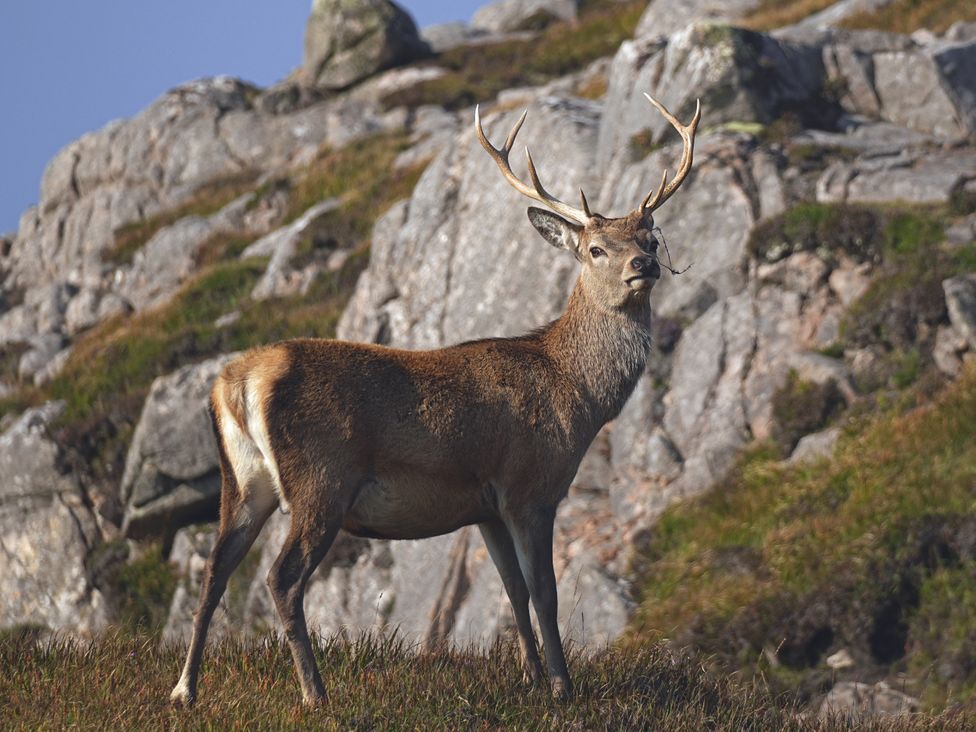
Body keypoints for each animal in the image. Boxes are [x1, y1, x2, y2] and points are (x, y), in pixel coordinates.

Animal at [169, 93, 701, 707]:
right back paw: (315, 694)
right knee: (282, 578)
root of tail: (237, 381)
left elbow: (513, 591)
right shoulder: (531, 486)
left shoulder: (485, 505)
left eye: (650, 239)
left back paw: (185, 690)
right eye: (595, 249)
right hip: (321, 477)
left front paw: (529, 677)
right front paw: (562, 688)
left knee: (214, 570)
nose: (645, 266)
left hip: (242, 482)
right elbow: (544, 591)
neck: (577, 393)